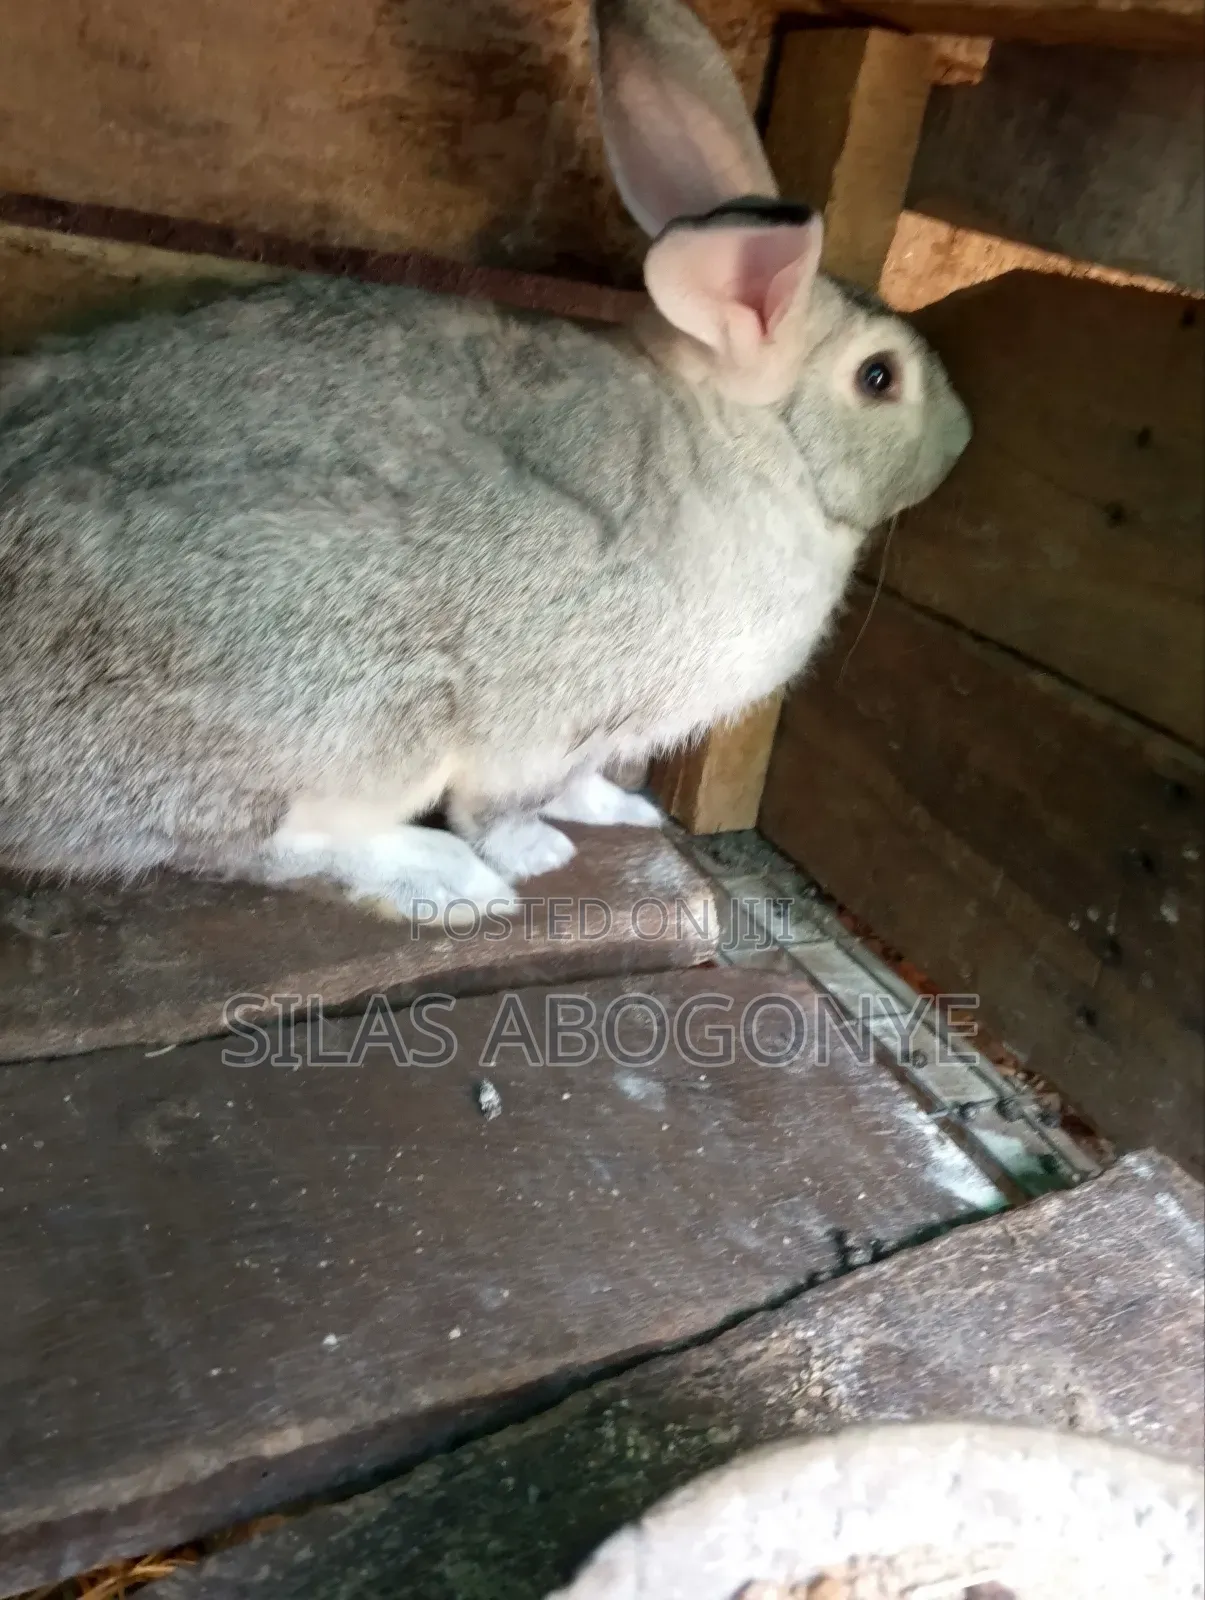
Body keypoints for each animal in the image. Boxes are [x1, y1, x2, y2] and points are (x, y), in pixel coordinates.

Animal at [0, 0, 971, 925]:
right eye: (879, 378)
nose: (961, 439)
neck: (743, 444)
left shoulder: (595, 737)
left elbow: (583, 782)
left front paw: (626, 813)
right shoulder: (543, 720)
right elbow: (502, 803)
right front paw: (538, 853)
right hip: (348, 706)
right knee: (256, 842)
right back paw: (448, 879)